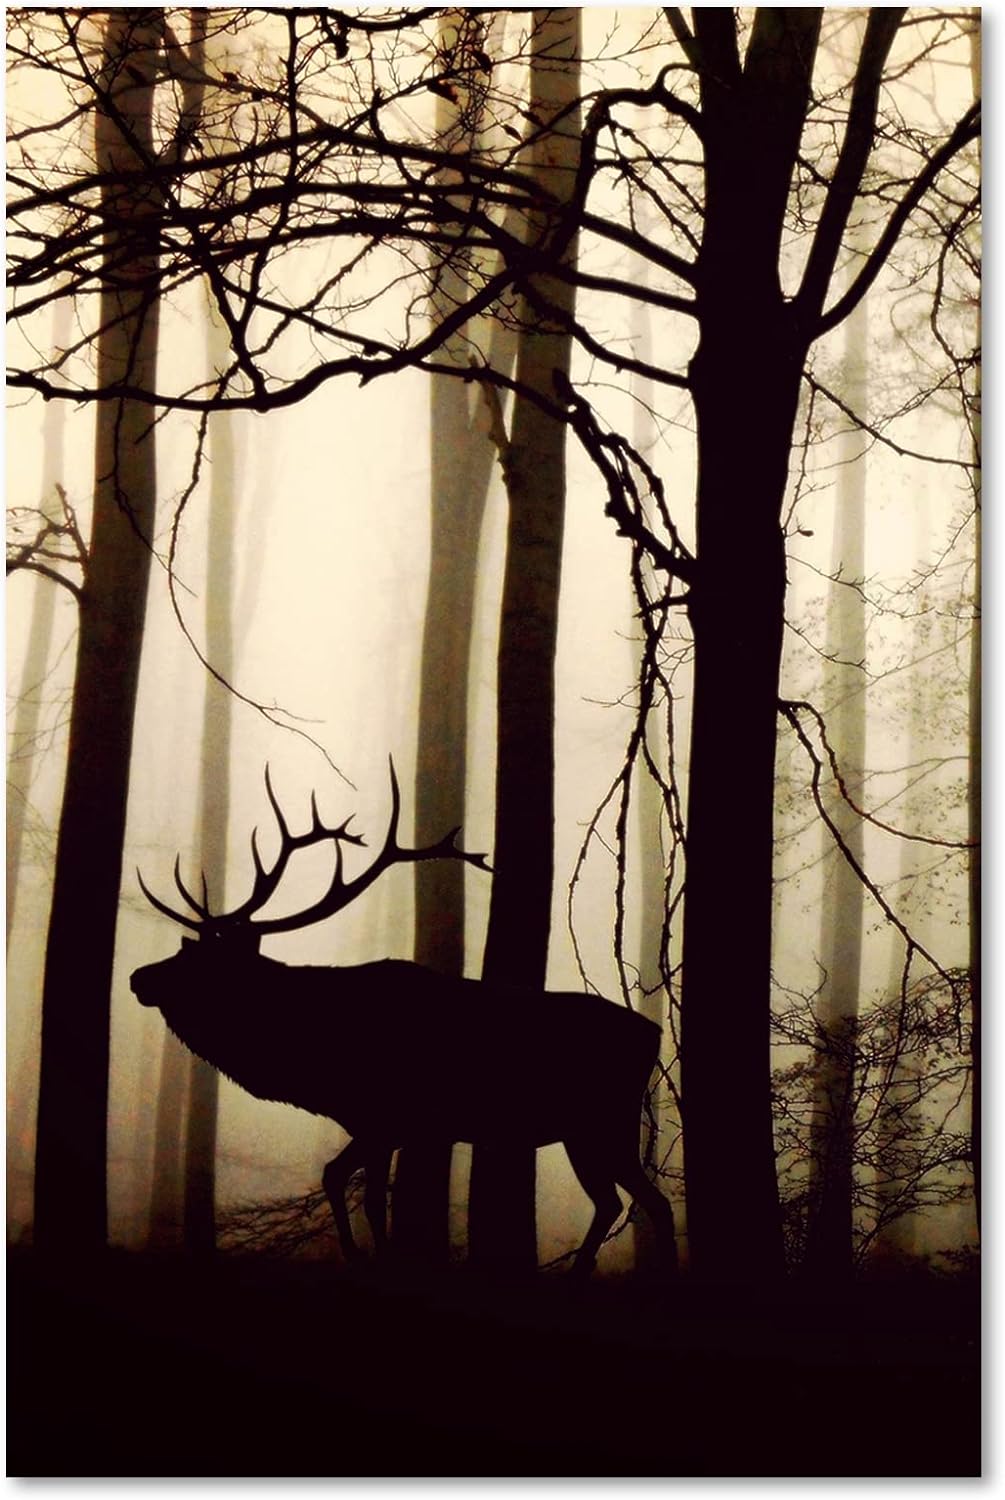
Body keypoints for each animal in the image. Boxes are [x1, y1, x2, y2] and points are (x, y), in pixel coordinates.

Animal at [130, 761, 678, 1275]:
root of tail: (652, 1033)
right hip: (589, 1131)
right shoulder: (377, 1124)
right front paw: (362, 1256)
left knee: (642, 1202)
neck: (312, 1064)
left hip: (603, 1122)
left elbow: (368, 1197)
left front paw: (375, 1259)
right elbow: (339, 1177)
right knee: (625, 1202)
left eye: (198, 961)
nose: (137, 976)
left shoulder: (386, 1116)